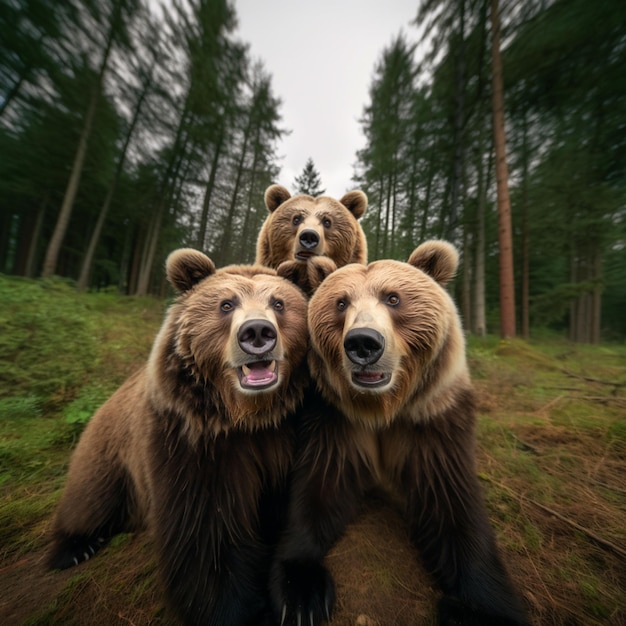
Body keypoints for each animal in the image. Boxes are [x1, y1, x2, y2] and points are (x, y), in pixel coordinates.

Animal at [48, 249, 310, 624]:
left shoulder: (283, 437)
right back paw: (73, 547)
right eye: (226, 304)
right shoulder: (192, 441)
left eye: (278, 302)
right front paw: (237, 610)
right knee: (90, 496)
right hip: (110, 452)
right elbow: (206, 532)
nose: (257, 331)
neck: (249, 416)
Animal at [268, 240, 528, 624]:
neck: (382, 407)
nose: (363, 343)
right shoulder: (335, 420)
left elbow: (450, 502)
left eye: (393, 298)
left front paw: (478, 608)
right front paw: (301, 592)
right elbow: (320, 485)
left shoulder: (430, 421)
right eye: (341, 302)